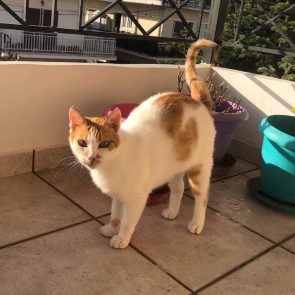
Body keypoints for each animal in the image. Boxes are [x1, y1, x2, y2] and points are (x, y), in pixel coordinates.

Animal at [69, 38, 217, 250]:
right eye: (82, 142)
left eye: (104, 144)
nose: (91, 157)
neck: (111, 166)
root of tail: (197, 102)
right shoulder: (118, 196)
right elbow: (116, 216)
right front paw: (111, 229)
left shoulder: (137, 199)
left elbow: (127, 221)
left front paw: (121, 238)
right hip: (172, 166)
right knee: (178, 188)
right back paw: (172, 212)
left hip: (200, 168)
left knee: (202, 197)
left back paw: (197, 223)